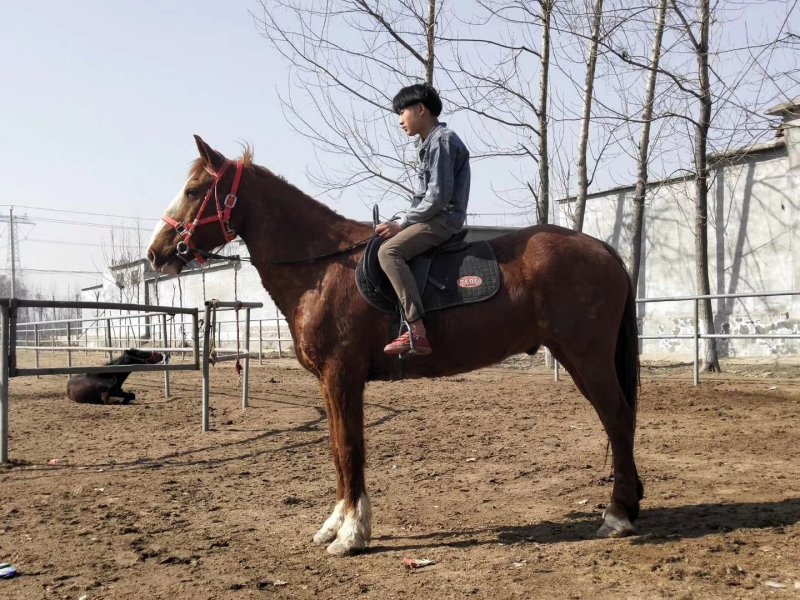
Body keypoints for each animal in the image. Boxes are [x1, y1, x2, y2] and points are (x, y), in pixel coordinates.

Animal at [147, 136, 642, 556]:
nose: (156, 254)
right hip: (578, 358)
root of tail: (604, 249)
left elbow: (350, 448)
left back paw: (617, 516)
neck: (323, 270)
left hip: (587, 357)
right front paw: (334, 525)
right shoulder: (330, 383)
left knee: (617, 419)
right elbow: (336, 449)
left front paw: (351, 535)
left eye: (194, 190)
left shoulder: (342, 377)